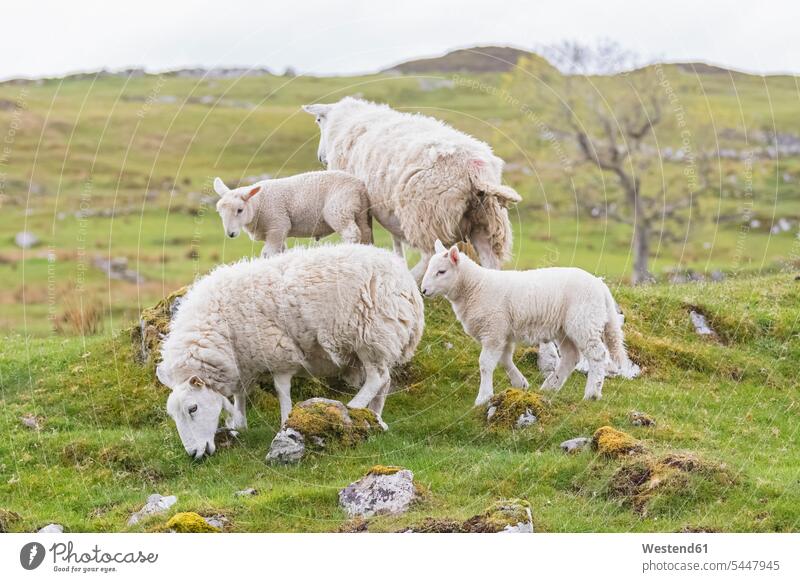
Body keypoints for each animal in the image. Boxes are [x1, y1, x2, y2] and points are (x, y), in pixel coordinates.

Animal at [152, 243, 422, 460]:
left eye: (193, 408)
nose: (194, 454)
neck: (218, 326)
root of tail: (406, 279)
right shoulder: (242, 361)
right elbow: (240, 394)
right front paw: (239, 423)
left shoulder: (277, 352)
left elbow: (281, 390)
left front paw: (285, 421)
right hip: (380, 341)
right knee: (384, 380)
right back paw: (375, 417)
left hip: (372, 334)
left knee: (377, 378)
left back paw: (353, 407)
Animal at [212, 170, 376, 258]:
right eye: (219, 212)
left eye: (239, 210)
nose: (230, 234)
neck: (257, 204)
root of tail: (359, 186)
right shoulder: (277, 232)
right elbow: (280, 250)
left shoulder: (277, 224)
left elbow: (268, 253)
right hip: (360, 212)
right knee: (365, 232)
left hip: (339, 209)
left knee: (351, 233)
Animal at [418, 241, 632, 406]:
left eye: (441, 271)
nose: (423, 290)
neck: (475, 287)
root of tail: (601, 286)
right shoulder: (502, 332)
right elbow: (504, 360)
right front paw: (520, 383)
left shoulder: (493, 330)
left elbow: (485, 364)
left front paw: (483, 397)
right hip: (565, 328)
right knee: (571, 357)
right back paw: (550, 386)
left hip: (584, 321)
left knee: (597, 355)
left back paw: (592, 394)